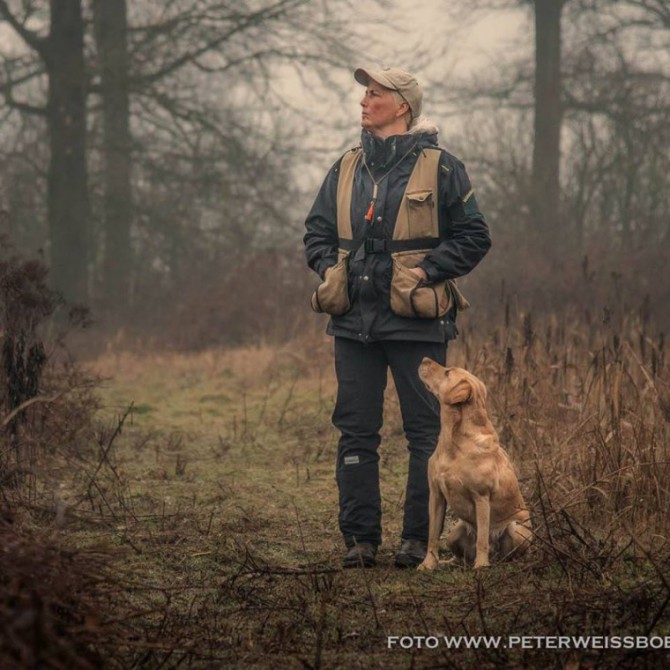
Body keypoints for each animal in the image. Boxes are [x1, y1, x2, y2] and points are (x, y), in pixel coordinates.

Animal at [418, 362, 532, 572]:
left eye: (447, 372)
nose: (424, 359)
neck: (452, 441)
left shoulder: (481, 497)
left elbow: (482, 539)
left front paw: (481, 565)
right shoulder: (436, 495)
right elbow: (432, 536)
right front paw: (428, 563)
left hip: (516, 530)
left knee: (505, 552)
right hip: (454, 533)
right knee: (459, 556)